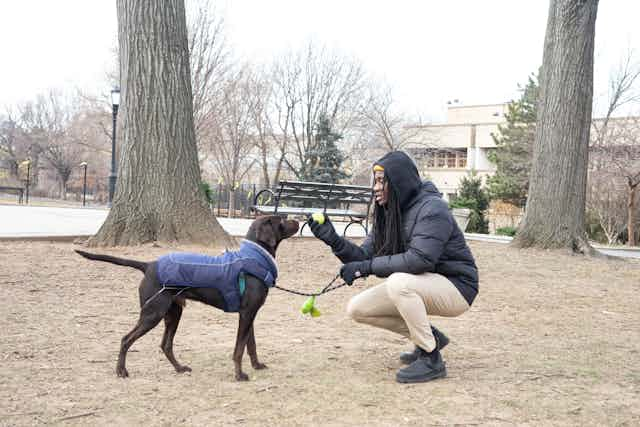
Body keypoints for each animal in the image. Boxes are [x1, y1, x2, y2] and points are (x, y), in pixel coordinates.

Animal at [75, 217, 300, 382]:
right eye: (282, 219)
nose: (299, 220)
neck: (254, 258)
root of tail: (148, 265)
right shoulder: (246, 314)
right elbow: (238, 349)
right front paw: (239, 375)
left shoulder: (249, 314)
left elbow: (250, 345)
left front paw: (256, 366)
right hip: (152, 314)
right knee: (126, 339)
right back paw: (121, 371)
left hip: (174, 313)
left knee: (165, 345)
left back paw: (180, 368)